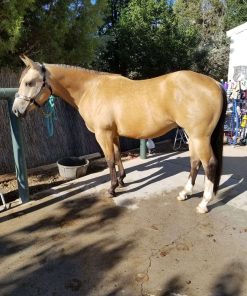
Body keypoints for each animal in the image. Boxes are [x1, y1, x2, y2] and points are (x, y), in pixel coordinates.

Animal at [12, 55, 227, 213]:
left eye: (29, 82)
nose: (16, 110)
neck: (91, 89)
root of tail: (215, 83)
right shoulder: (113, 134)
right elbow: (117, 156)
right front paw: (122, 181)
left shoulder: (103, 134)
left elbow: (109, 160)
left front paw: (112, 189)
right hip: (193, 137)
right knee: (195, 162)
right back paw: (185, 193)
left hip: (199, 137)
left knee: (209, 164)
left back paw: (204, 203)